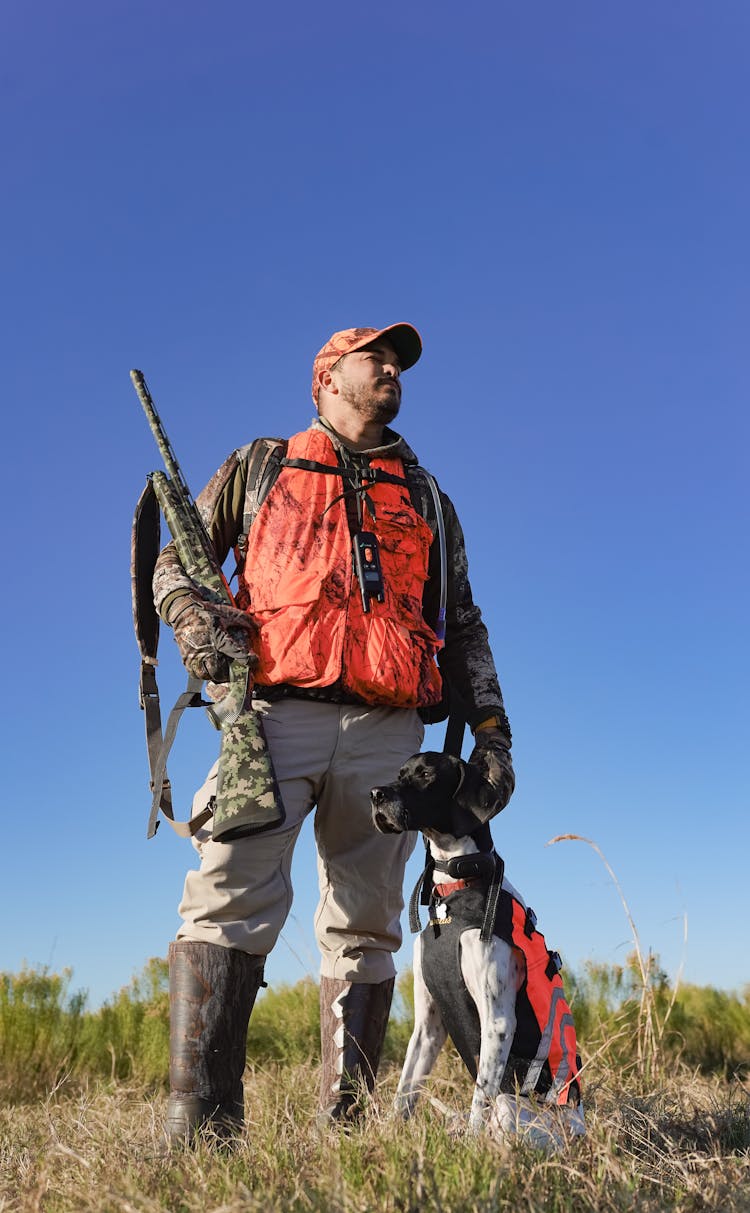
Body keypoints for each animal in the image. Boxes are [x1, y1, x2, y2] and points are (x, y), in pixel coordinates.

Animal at [371, 747, 587, 1145]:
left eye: (426, 775)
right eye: (400, 773)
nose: (375, 794)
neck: (456, 888)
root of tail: (581, 1131)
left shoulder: (498, 1022)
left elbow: (479, 1099)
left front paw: (471, 1150)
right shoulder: (427, 1025)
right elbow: (405, 1092)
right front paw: (387, 1137)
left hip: (514, 1107)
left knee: (496, 1110)